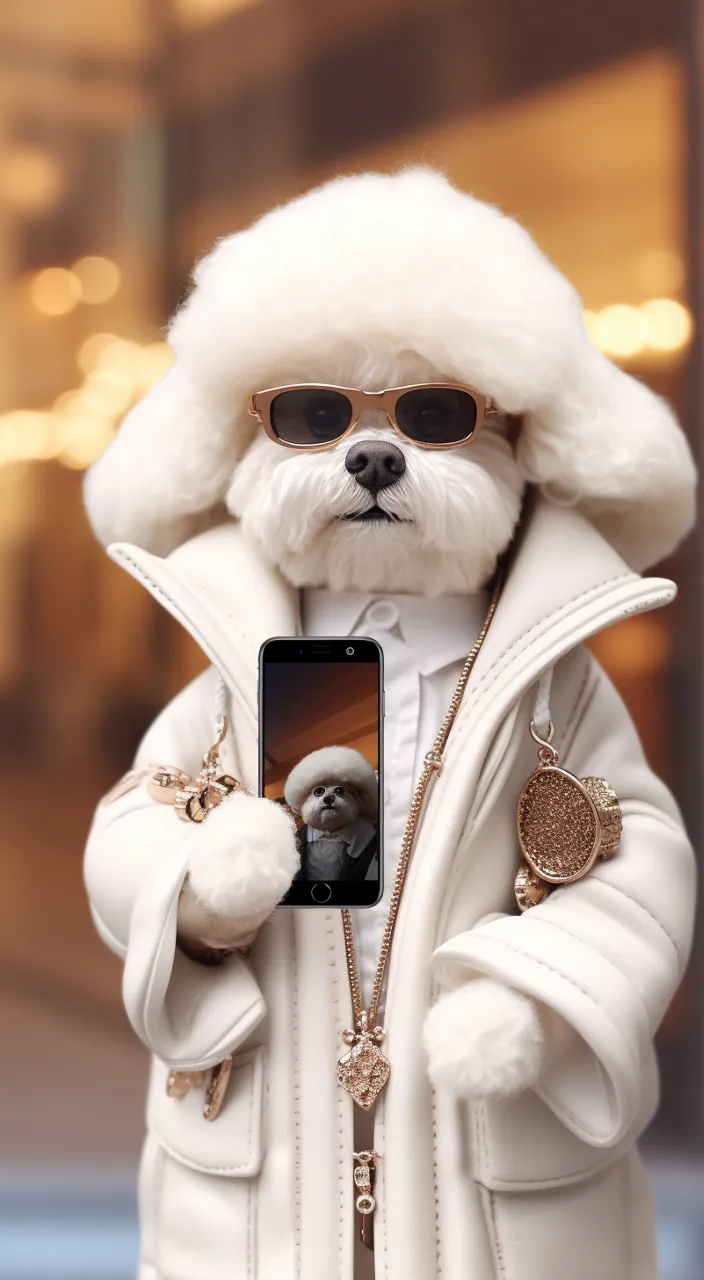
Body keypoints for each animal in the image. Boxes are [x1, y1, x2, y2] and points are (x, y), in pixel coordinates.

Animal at [85, 165, 696, 1095]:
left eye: (439, 414)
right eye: (311, 414)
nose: (375, 457)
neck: (391, 600)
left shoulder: (600, 723)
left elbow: (644, 854)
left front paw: (486, 1032)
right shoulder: (192, 718)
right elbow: (123, 826)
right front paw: (239, 862)